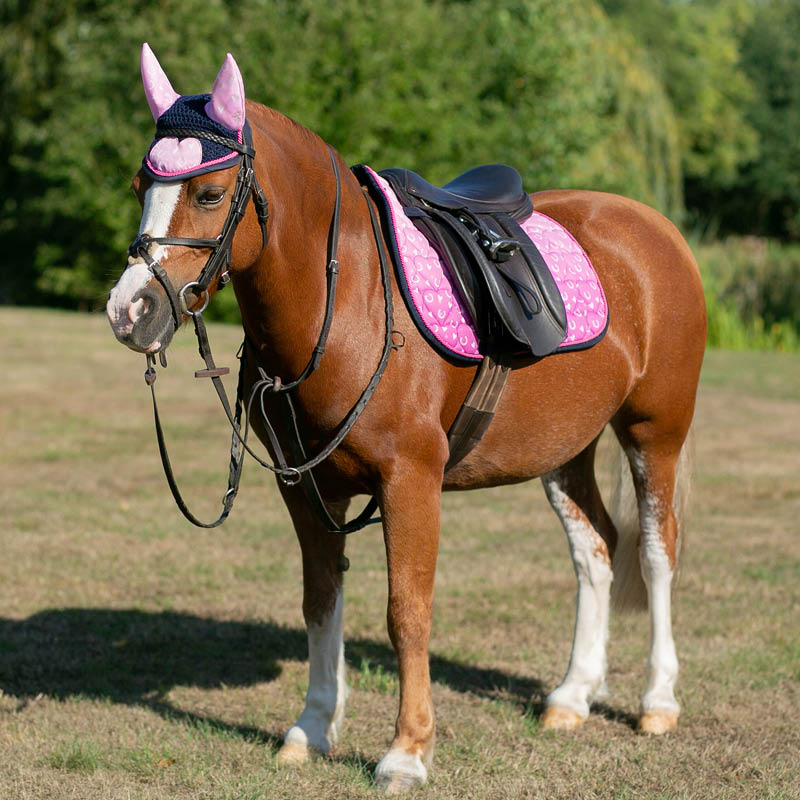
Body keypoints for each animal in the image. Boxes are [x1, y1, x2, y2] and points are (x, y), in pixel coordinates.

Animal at [106, 45, 706, 793]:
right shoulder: (306, 488)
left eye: (211, 194)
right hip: (566, 449)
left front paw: (407, 752)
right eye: (140, 184)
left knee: (655, 551)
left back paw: (658, 700)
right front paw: (312, 726)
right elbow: (320, 601)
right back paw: (572, 695)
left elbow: (407, 615)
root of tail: (655, 228)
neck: (350, 304)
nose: (129, 311)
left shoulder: (410, 483)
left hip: (655, 432)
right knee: (594, 548)